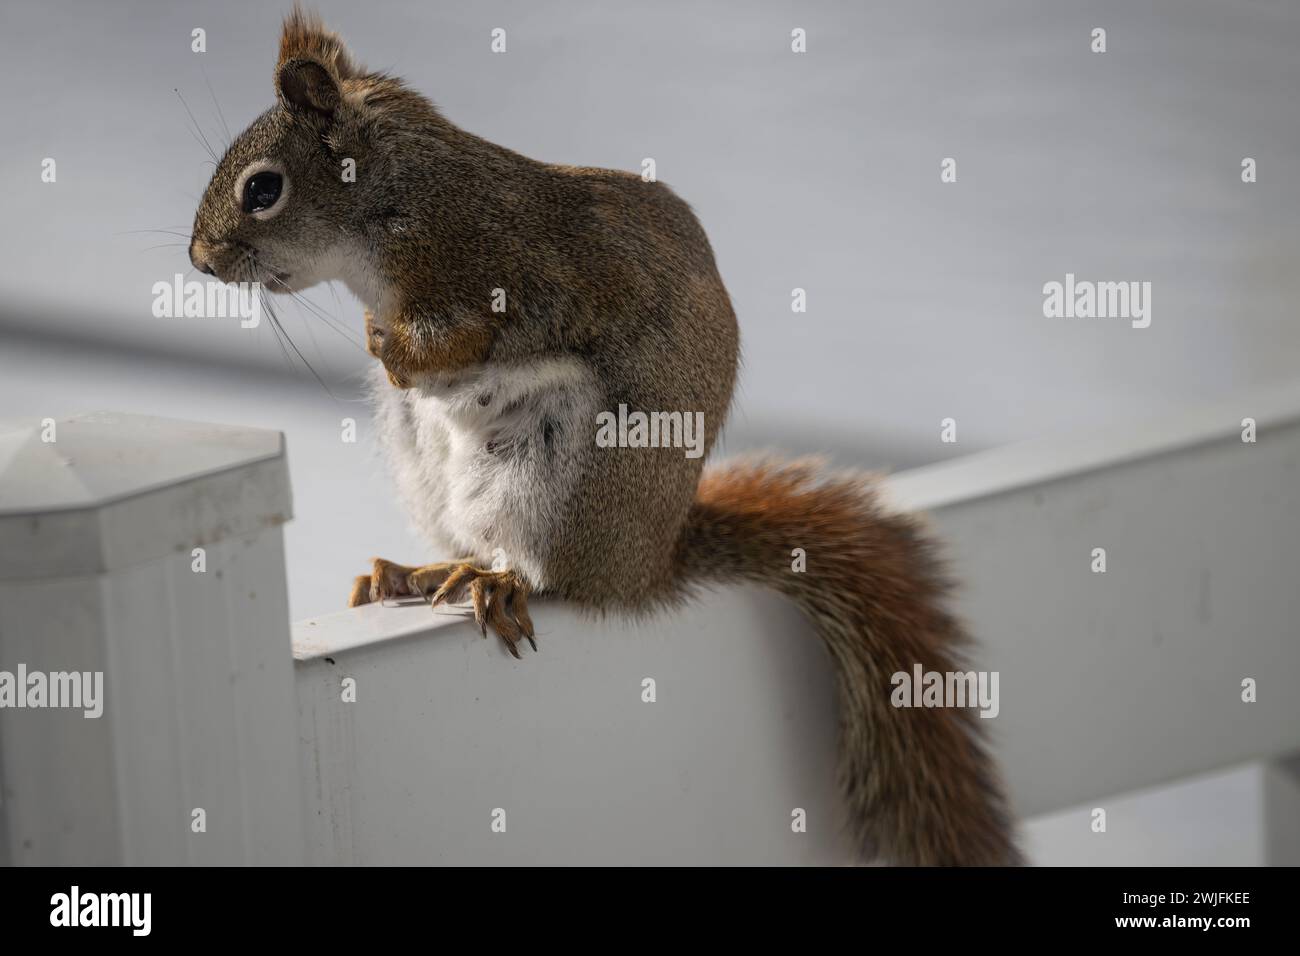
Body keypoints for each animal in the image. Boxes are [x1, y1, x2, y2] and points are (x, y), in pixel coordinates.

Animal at [190, 7, 1021, 866]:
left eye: (263, 189)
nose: (201, 261)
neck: (397, 196)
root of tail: (650, 564)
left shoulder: (501, 271)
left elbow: (464, 339)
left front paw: (390, 346)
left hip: (567, 481)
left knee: (551, 574)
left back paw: (499, 579)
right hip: (427, 458)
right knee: (472, 537)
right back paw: (425, 571)